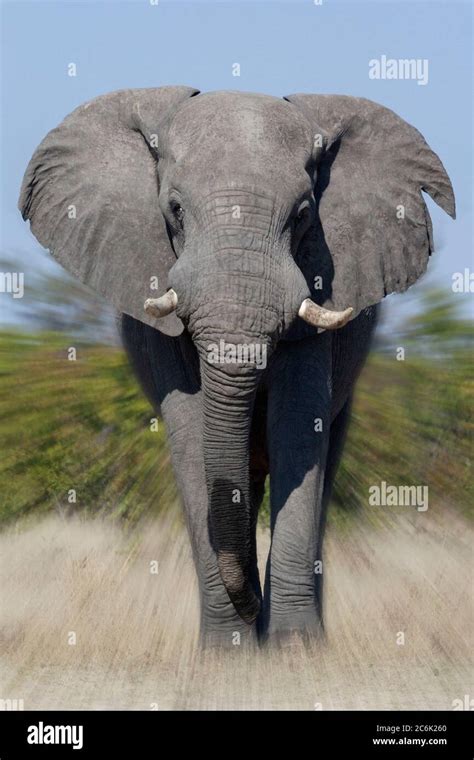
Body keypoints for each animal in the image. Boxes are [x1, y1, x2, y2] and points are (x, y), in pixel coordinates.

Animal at [19, 87, 456, 648]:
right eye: (175, 210)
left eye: (303, 214)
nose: (253, 609)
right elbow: (191, 431)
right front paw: (228, 653)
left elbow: (299, 427)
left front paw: (294, 651)